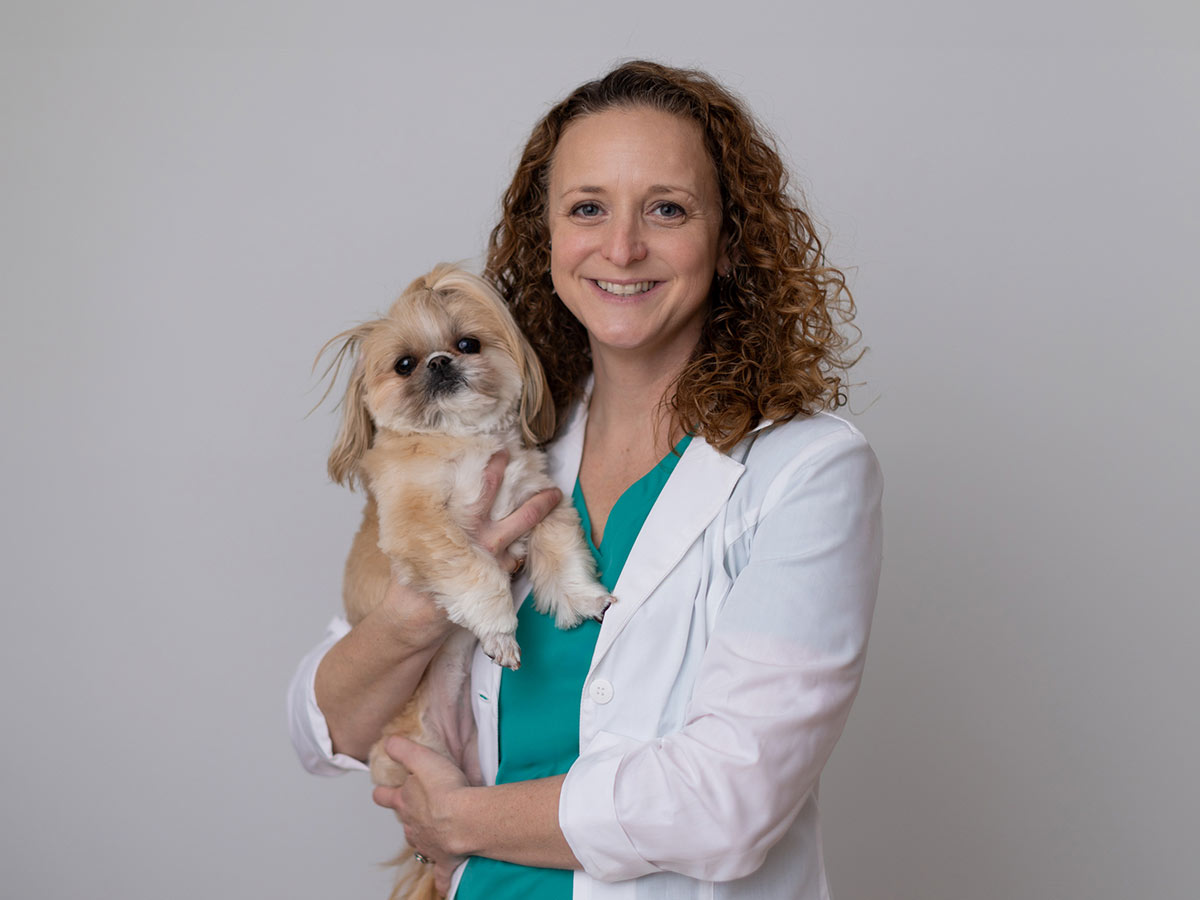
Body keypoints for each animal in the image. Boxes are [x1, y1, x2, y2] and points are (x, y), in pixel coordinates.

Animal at [316, 264, 609, 897]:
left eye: (467, 344)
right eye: (404, 364)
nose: (438, 363)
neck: (461, 442)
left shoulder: (537, 496)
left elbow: (559, 548)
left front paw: (579, 597)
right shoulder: (423, 527)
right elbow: (477, 570)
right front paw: (500, 631)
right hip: (414, 751)